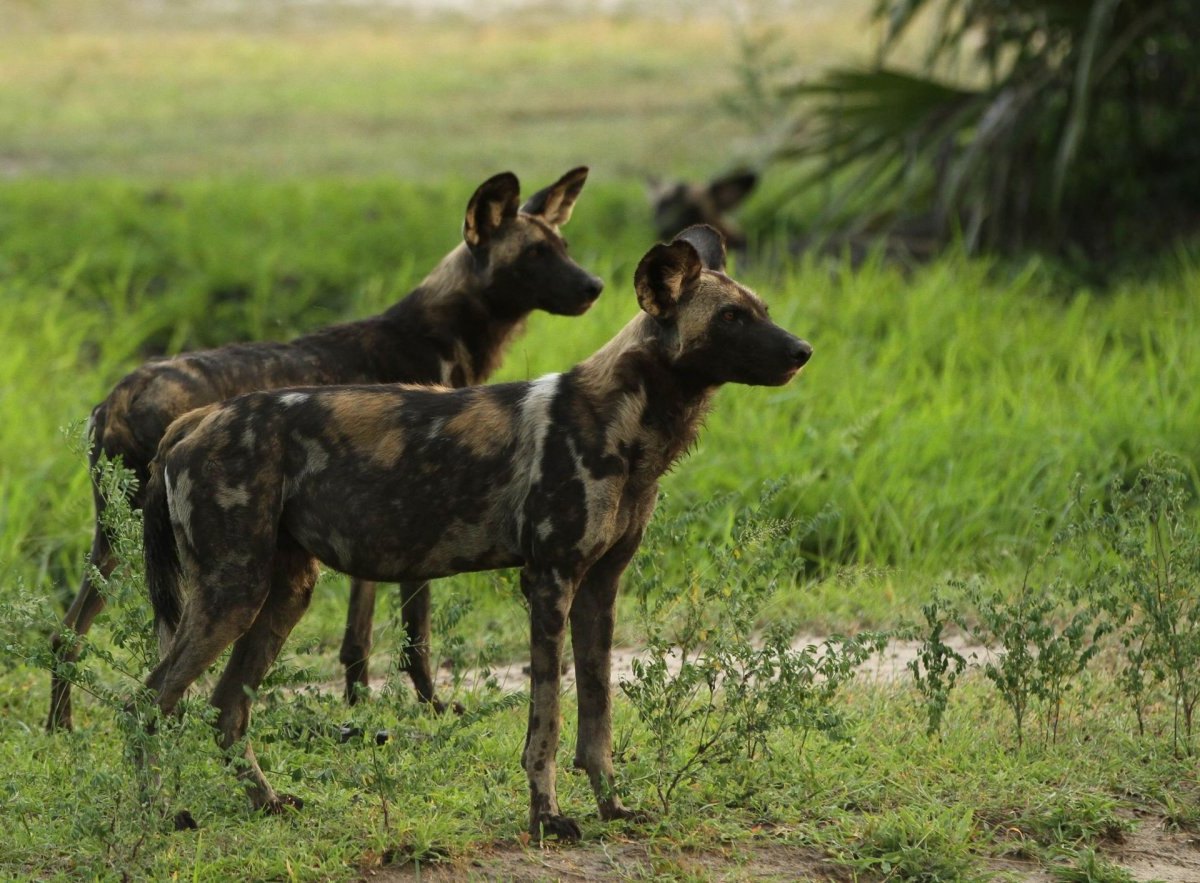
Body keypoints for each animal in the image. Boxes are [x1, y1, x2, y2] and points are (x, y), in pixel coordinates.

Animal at [45, 165, 600, 729]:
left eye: (564, 246)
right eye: (534, 254)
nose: (593, 286)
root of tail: (118, 397)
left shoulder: (377, 524)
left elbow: (358, 636)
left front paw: (359, 701)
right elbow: (415, 635)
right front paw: (431, 706)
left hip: (116, 541)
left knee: (66, 636)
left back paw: (60, 732)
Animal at [142, 221, 816, 839]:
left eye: (761, 311)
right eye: (730, 317)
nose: (803, 350)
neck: (630, 424)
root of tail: (194, 421)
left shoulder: (599, 590)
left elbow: (597, 721)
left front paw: (613, 808)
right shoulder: (548, 583)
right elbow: (547, 724)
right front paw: (548, 818)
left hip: (282, 593)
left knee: (225, 710)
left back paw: (267, 802)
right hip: (233, 593)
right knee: (149, 697)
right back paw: (157, 815)